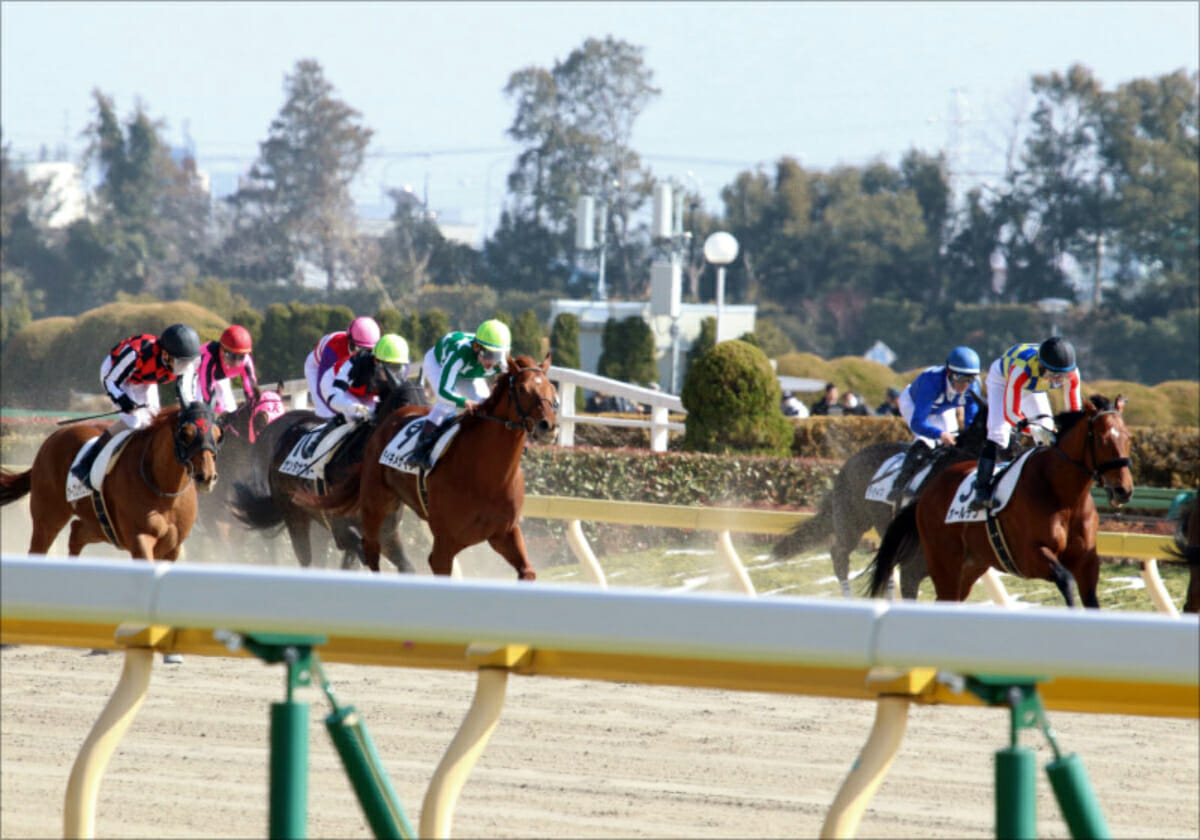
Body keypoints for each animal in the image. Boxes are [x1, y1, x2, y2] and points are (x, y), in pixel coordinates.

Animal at [0, 403, 223, 561]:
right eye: (185, 434)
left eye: (218, 435)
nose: (207, 477)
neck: (165, 490)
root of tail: (51, 439)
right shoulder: (139, 540)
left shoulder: (172, 548)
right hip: (48, 516)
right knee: (39, 548)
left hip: (98, 525)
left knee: (76, 533)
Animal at [228, 372, 427, 571]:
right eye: (403, 403)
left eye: (426, 405)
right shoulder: (341, 529)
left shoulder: (386, 534)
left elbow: (405, 566)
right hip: (295, 518)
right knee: (305, 557)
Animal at [297, 352, 564, 578]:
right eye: (522, 388)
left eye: (552, 388)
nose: (548, 426)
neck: (488, 475)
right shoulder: (444, 545)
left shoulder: (504, 533)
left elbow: (528, 572)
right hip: (375, 506)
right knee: (370, 551)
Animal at [864, 396, 1132, 607]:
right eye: (1101, 439)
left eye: (1128, 437)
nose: (1124, 490)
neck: (1063, 495)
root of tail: (926, 493)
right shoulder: (1029, 557)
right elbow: (1065, 580)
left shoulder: (1086, 561)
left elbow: (1091, 600)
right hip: (944, 561)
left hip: (971, 565)